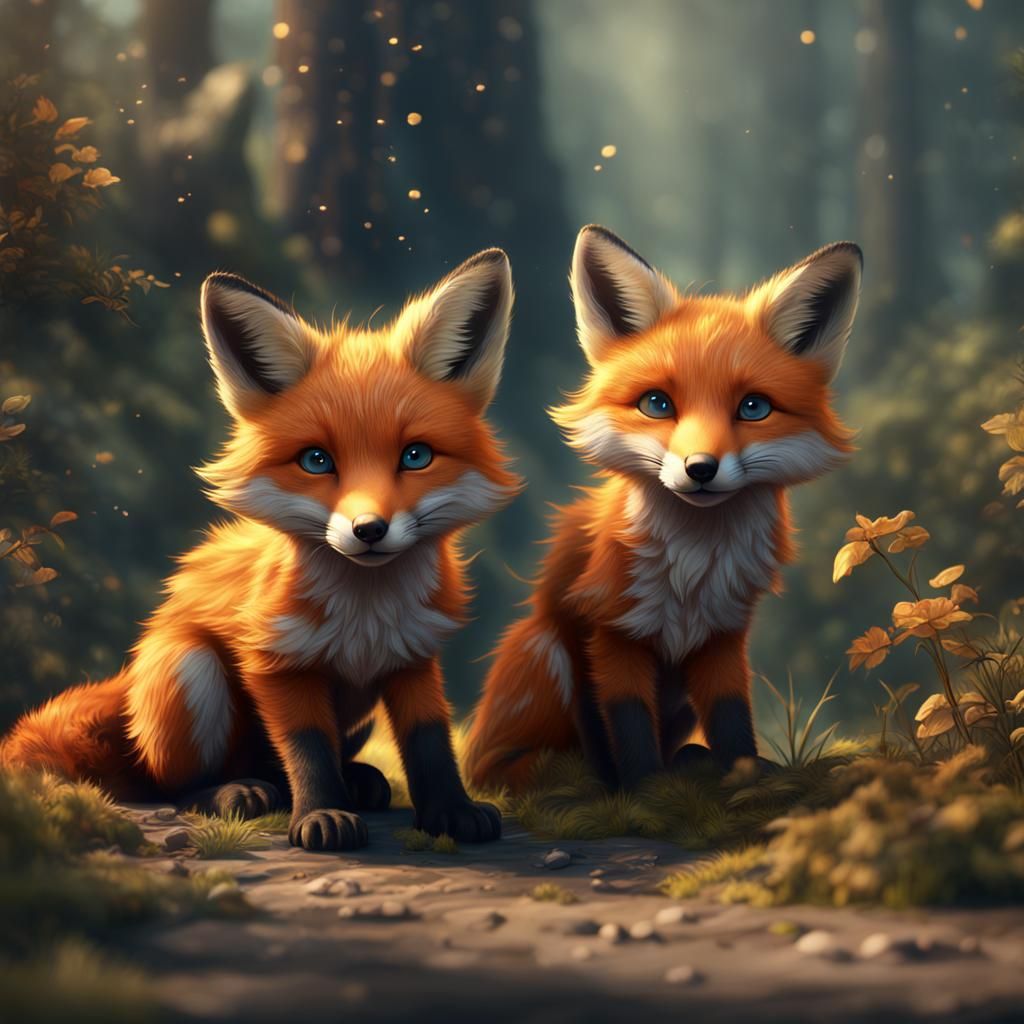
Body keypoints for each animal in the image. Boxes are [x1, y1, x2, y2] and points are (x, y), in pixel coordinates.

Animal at [1, 249, 521, 850]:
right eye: (317, 460)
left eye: (416, 456)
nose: (369, 530)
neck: (364, 616)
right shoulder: (274, 662)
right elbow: (306, 747)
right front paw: (322, 815)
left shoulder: (412, 655)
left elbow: (429, 740)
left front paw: (451, 811)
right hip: (190, 671)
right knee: (171, 784)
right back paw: (238, 793)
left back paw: (354, 781)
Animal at [465, 225, 862, 792]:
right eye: (657, 404)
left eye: (753, 407)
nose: (700, 468)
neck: (691, 567)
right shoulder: (611, 629)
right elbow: (627, 722)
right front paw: (641, 789)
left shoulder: (723, 633)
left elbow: (731, 715)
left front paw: (744, 774)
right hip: (544, 649)